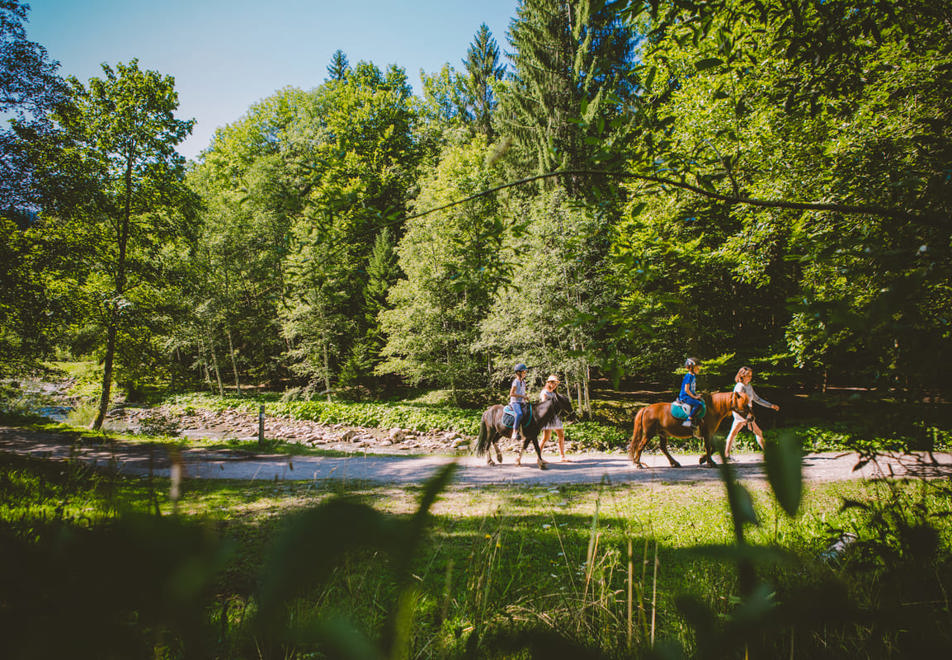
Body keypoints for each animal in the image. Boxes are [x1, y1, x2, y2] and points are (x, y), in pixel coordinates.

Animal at [624, 392, 752, 470]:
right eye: (745, 404)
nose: (752, 418)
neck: (712, 409)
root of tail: (646, 408)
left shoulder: (709, 434)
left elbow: (713, 448)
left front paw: (703, 459)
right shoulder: (707, 434)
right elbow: (708, 447)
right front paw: (709, 462)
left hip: (662, 434)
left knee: (663, 448)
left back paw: (674, 463)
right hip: (649, 434)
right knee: (640, 446)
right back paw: (638, 464)